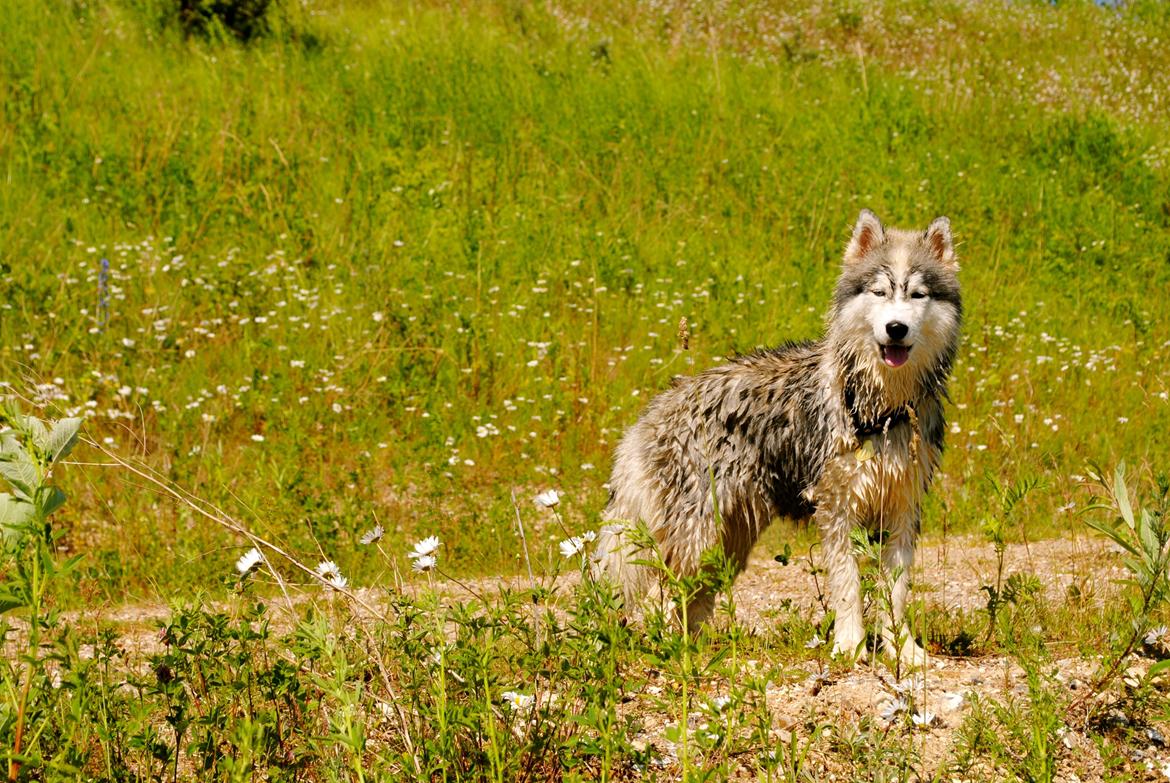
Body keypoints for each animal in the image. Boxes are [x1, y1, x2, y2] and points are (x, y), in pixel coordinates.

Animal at [594, 209, 959, 664]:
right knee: (659, 597)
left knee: (689, 601)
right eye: (879, 291)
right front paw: (849, 646)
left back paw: (697, 647)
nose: (896, 328)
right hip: (696, 538)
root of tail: (651, 412)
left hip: (727, 544)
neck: (881, 409)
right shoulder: (836, 509)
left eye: (917, 294)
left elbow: (896, 593)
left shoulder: (902, 509)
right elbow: (848, 587)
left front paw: (904, 650)